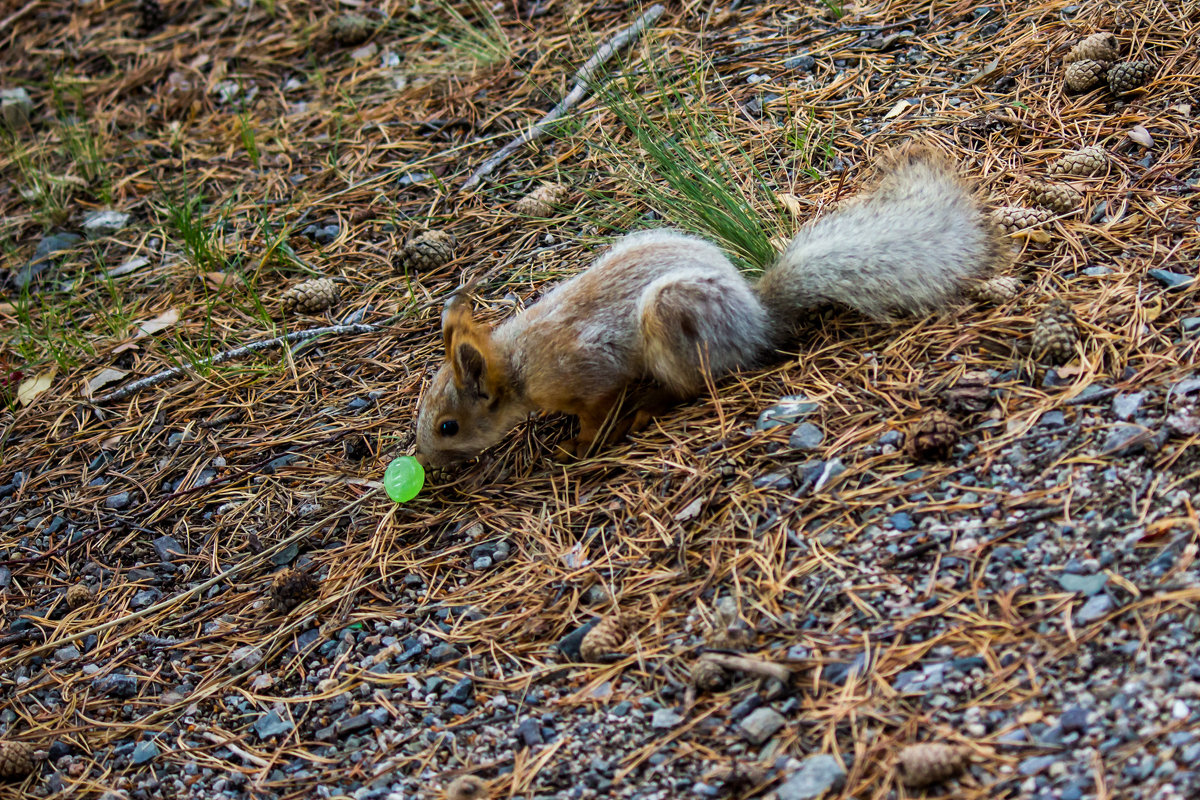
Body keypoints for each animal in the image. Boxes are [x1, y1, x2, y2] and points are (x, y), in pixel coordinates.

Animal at [417, 143, 1008, 470]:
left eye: (448, 427)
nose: (424, 462)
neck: (517, 365)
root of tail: (756, 319)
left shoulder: (587, 373)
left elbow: (596, 411)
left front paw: (579, 446)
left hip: (675, 318)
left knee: (696, 383)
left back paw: (650, 405)